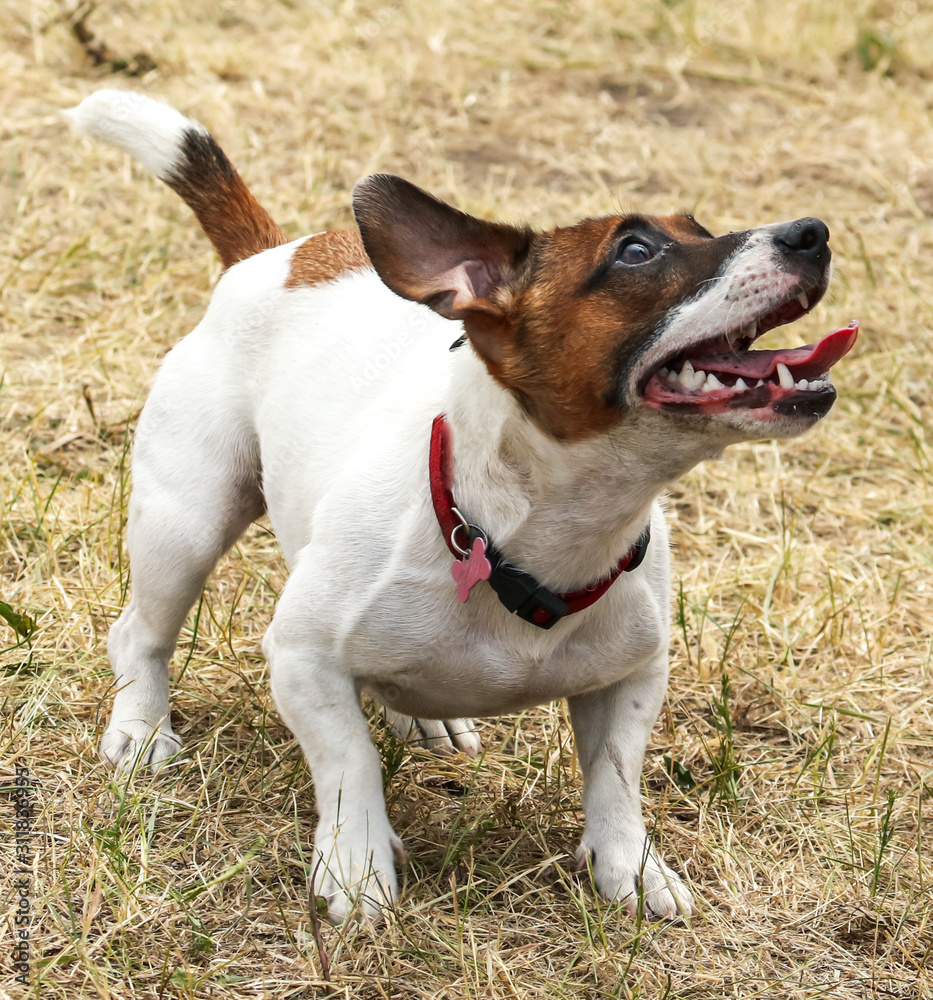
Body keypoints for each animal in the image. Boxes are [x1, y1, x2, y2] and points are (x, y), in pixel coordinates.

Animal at [67, 92, 860, 920]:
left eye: (699, 227)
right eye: (636, 251)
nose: (811, 232)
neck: (534, 533)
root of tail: (274, 254)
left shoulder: (632, 679)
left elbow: (615, 777)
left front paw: (630, 868)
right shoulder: (302, 659)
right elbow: (348, 760)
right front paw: (355, 863)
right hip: (185, 522)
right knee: (141, 635)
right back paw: (140, 728)